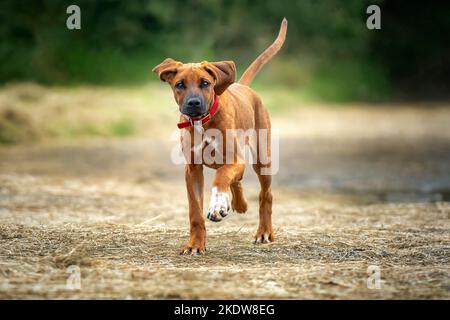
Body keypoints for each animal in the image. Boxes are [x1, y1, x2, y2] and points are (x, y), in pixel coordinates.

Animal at [153, 18, 288, 255]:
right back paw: (238, 204)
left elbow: (221, 176)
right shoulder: (192, 170)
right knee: (238, 182)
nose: (193, 103)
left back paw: (263, 231)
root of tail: (242, 85)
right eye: (180, 85)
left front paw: (217, 203)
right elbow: (195, 213)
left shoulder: (234, 159)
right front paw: (195, 244)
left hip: (262, 158)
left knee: (265, 195)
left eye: (205, 83)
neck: (202, 123)